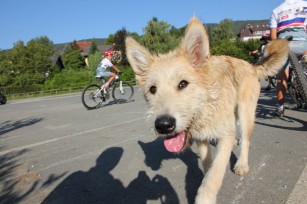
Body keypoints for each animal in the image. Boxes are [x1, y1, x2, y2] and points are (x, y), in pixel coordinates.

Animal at [125, 16, 288, 203]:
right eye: (152, 89)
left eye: (183, 84)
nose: (163, 125)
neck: (206, 109)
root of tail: (252, 66)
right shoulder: (201, 139)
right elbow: (207, 166)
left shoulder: (225, 136)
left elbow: (214, 174)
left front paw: (205, 197)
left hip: (245, 113)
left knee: (246, 140)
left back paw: (242, 163)